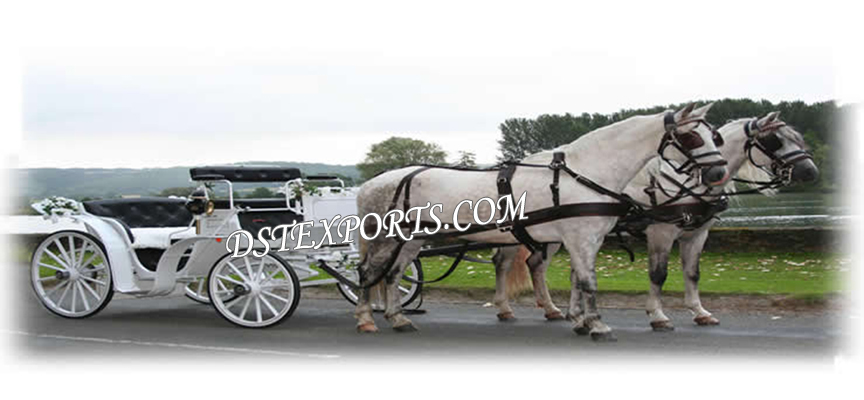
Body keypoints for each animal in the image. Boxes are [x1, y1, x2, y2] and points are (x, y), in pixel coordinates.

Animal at [354, 101, 724, 340]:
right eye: (692, 137)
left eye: (716, 137)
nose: (718, 173)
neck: (585, 172)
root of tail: (372, 183)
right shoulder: (581, 238)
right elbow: (588, 282)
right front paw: (597, 325)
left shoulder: (586, 241)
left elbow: (580, 280)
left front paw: (581, 321)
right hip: (386, 239)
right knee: (368, 272)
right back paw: (366, 318)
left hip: (411, 239)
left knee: (394, 274)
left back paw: (397, 318)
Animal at [492, 111, 816, 330]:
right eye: (775, 140)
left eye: (798, 138)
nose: (811, 171)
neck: (687, 182)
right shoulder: (661, 231)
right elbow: (658, 275)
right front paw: (657, 315)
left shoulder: (696, 234)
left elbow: (692, 274)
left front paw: (699, 312)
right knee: (508, 263)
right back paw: (506, 307)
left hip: (547, 236)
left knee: (535, 264)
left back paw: (551, 309)